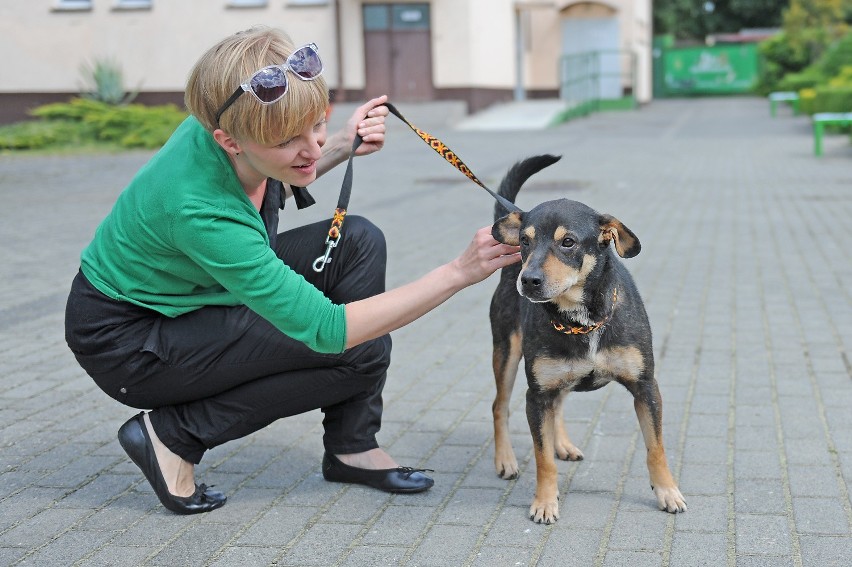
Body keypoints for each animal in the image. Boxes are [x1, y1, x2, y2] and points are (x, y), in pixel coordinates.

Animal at [490, 154, 684, 524]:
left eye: (568, 242)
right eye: (524, 241)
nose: (528, 280)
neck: (582, 321)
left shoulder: (646, 387)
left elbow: (656, 448)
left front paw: (668, 491)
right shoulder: (536, 395)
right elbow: (542, 459)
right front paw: (544, 502)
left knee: (559, 405)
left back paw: (562, 443)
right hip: (506, 352)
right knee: (500, 406)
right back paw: (505, 459)